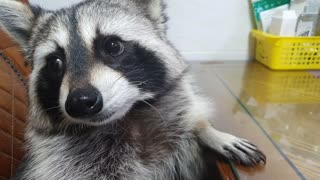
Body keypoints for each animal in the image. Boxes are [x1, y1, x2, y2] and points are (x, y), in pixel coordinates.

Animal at [0, 0, 264, 179]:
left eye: (113, 46)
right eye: (55, 63)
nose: (81, 102)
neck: (128, 119)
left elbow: (189, 121)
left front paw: (207, 129)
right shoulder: (64, 165)